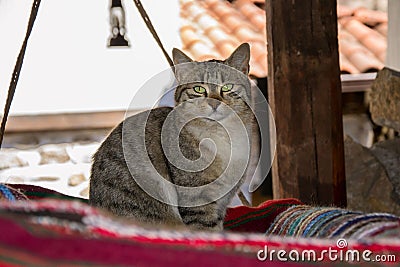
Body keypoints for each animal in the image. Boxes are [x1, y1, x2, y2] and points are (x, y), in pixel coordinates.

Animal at [89, 43, 255, 231]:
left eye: (227, 87)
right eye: (198, 89)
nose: (214, 103)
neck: (222, 133)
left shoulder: (221, 204)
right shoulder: (196, 198)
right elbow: (206, 230)